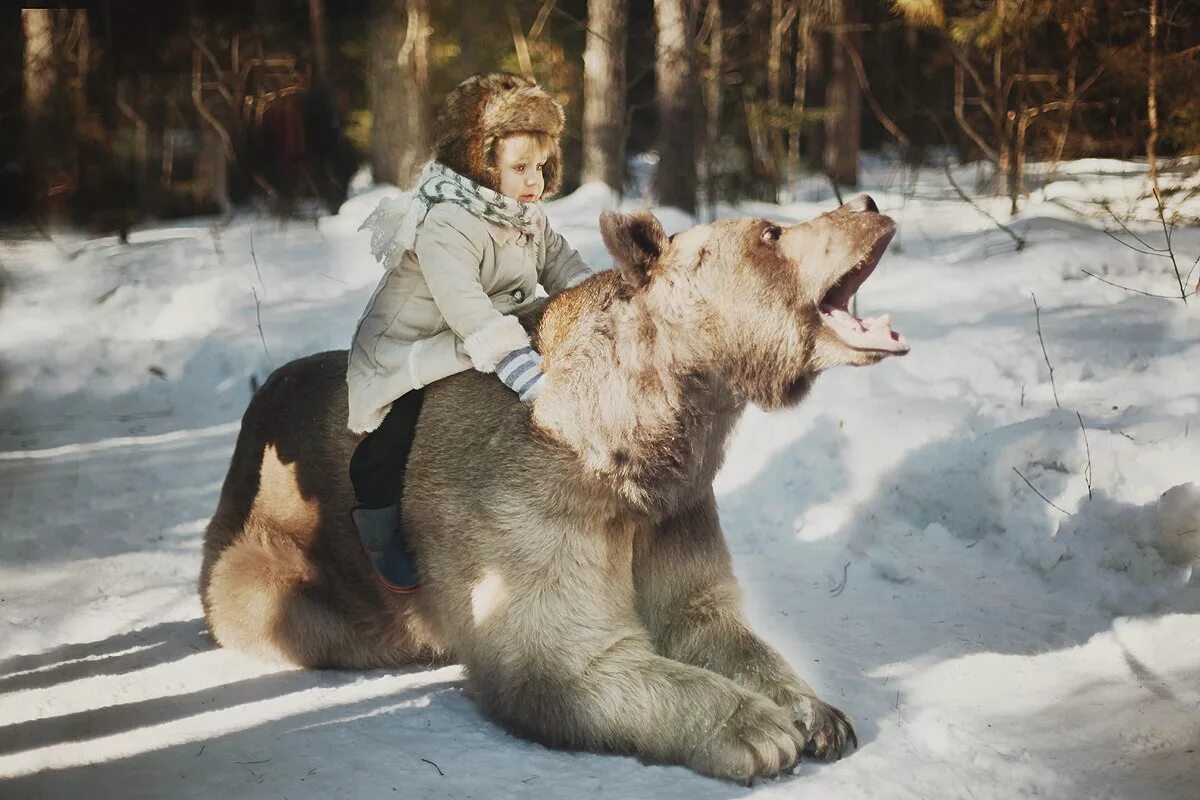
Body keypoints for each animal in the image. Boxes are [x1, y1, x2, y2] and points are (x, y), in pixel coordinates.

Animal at [196, 195, 907, 782]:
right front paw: (757, 729)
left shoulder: (676, 510)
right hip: (281, 551)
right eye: (771, 232)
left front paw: (817, 714)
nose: (869, 206)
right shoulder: (530, 503)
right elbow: (566, 655)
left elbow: (705, 616)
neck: (632, 445)